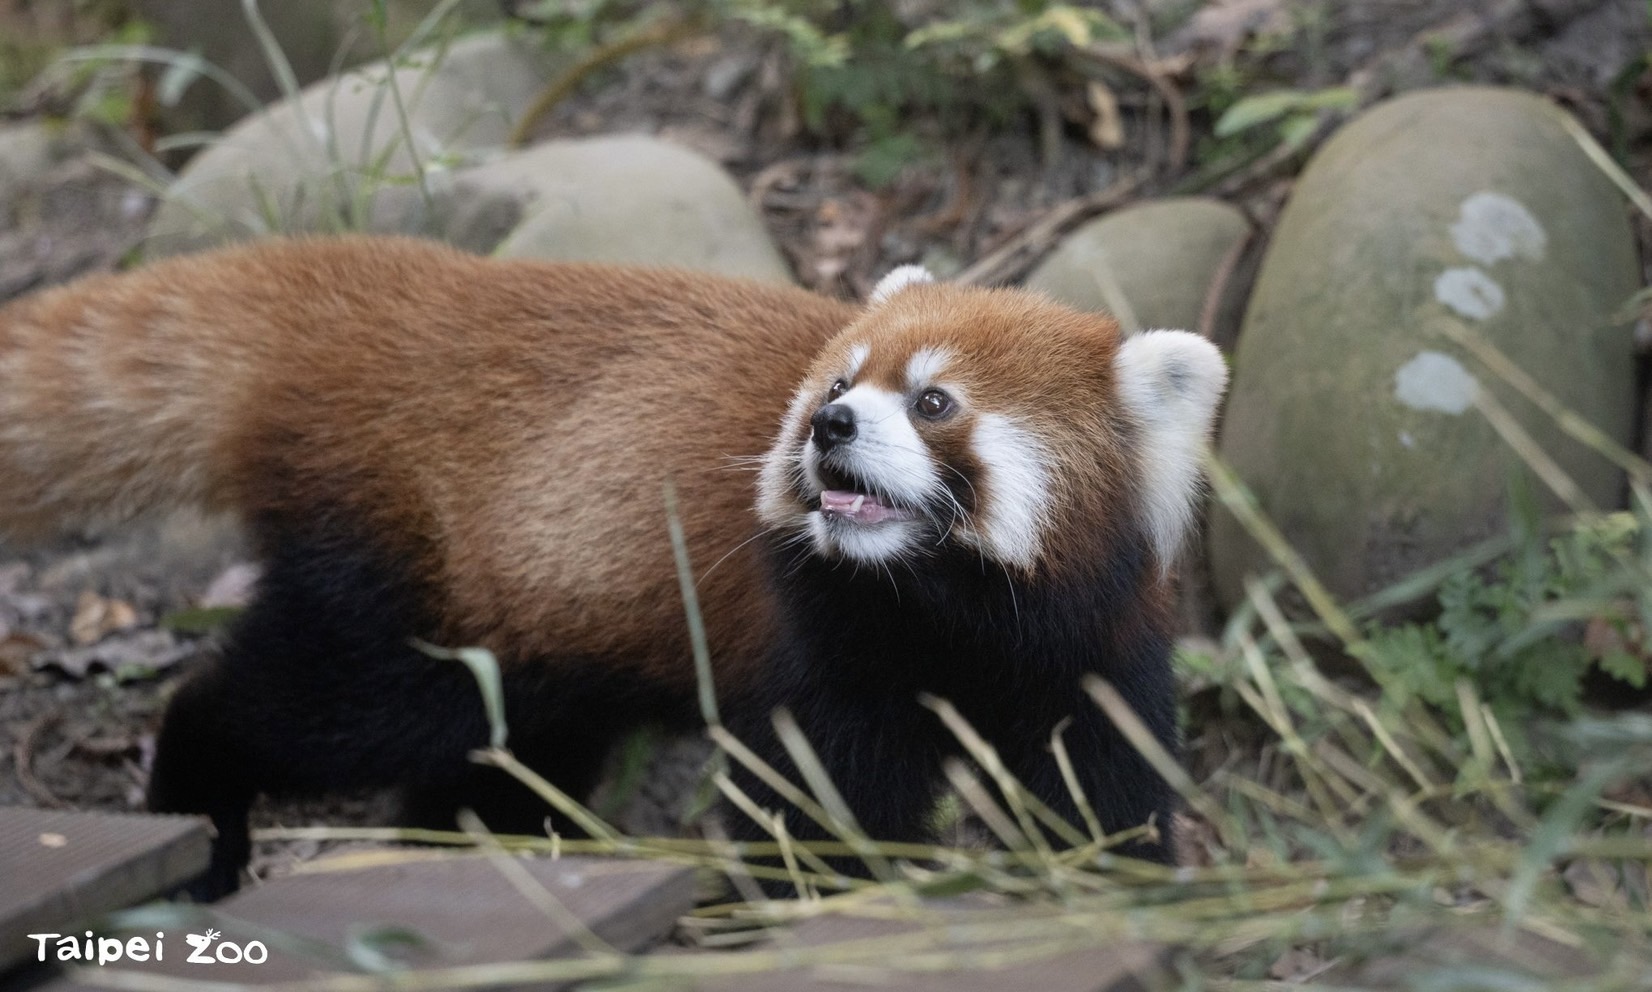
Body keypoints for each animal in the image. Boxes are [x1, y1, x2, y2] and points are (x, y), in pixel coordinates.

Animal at [0, 236, 1222, 892]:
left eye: (931, 402)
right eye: (837, 385)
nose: (830, 426)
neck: (940, 610)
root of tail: (371, 304)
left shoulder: (1089, 641)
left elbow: (1099, 784)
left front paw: (1113, 881)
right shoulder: (817, 642)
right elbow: (819, 798)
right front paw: (830, 902)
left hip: (532, 641)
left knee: (491, 758)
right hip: (410, 583)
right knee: (306, 701)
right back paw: (195, 825)